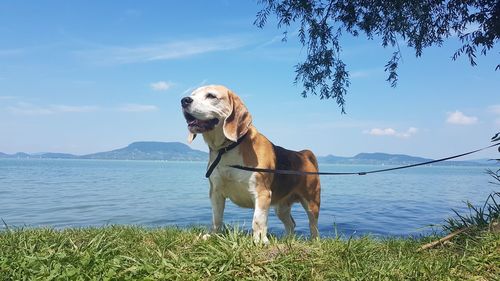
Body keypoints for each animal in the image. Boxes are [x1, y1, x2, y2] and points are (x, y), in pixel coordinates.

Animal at [182, 85, 322, 243]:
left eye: (211, 96)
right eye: (193, 94)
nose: (184, 100)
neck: (228, 149)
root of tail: (303, 154)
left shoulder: (262, 194)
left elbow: (258, 220)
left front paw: (259, 241)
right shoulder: (215, 192)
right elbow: (216, 218)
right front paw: (213, 235)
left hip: (312, 202)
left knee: (313, 225)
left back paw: (315, 241)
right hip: (281, 207)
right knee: (291, 223)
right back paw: (287, 240)